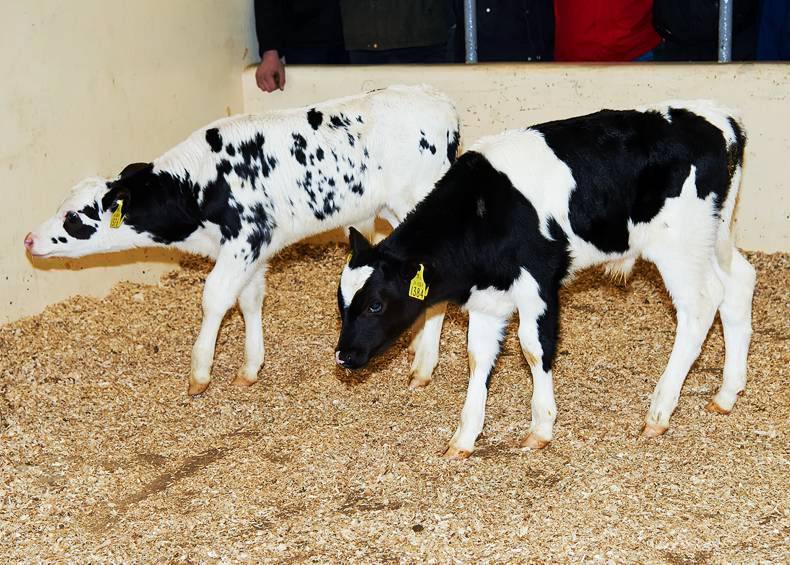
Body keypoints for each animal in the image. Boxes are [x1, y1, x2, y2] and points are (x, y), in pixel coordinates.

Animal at [25, 85, 459, 396]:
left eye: (73, 217)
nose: (29, 239)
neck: (197, 183)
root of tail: (439, 101)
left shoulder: (245, 238)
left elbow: (216, 297)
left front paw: (200, 373)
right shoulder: (254, 249)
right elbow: (249, 299)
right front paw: (250, 367)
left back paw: (423, 366)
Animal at [335, 100, 755, 458]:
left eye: (375, 305)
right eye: (342, 305)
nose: (343, 355)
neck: (482, 210)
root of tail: (718, 117)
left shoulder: (539, 283)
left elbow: (534, 348)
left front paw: (540, 427)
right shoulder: (488, 299)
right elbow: (477, 356)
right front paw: (464, 438)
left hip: (679, 246)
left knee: (701, 305)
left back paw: (659, 412)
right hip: (711, 237)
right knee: (738, 283)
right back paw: (726, 394)